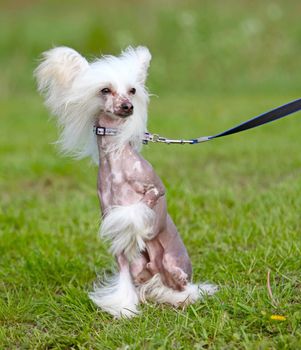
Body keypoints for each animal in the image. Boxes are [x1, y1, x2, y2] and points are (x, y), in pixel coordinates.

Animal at [34, 45, 216, 318]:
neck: (116, 158)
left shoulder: (156, 190)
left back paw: (182, 295)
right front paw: (125, 307)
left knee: (184, 285)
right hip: (143, 268)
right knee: (147, 277)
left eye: (132, 90)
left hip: (171, 262)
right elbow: (123, 272)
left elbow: (135, 212)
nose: (127, 106)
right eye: (105, 90)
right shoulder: (114, 230)